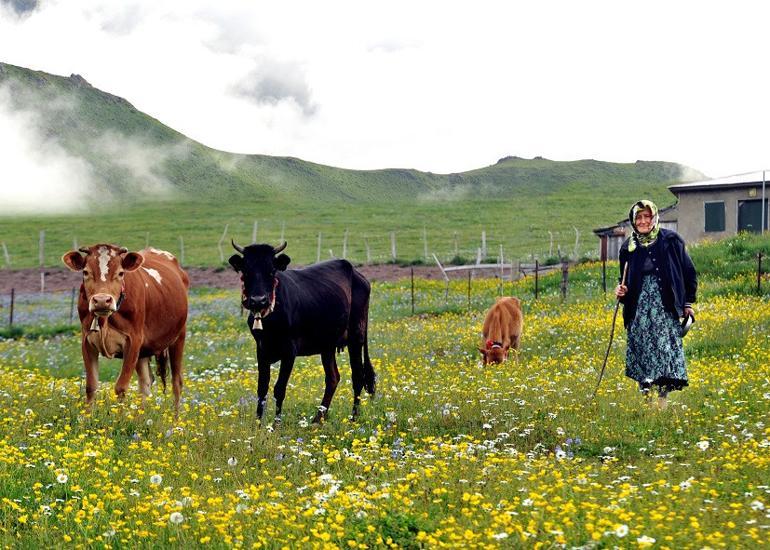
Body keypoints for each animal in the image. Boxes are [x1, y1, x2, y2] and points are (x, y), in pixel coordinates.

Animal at [60, 246, 190, 414]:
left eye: (121, 273)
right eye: (86, 272)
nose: (102, 300)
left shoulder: (133, 341)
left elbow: (121, 387)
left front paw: (119, 417)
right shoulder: (87, 342)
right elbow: (91, 386)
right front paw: (87, 418)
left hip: (178, 336)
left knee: (176, 382)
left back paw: (175, 419)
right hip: (144, 352)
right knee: (145, 383)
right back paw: (141, 416)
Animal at [228, 239, 376, 424]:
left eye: (271, 271)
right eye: (246, 272)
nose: (258, 300)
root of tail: (355, 273)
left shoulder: (289, 351)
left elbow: (279, 388)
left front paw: (275, 425)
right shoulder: (261, 349)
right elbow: (262, 388)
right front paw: (258, 424)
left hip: (356, 335)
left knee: (358, 376)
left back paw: (353, 418)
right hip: (327, 344)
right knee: (333, 378)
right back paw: (318, 418)